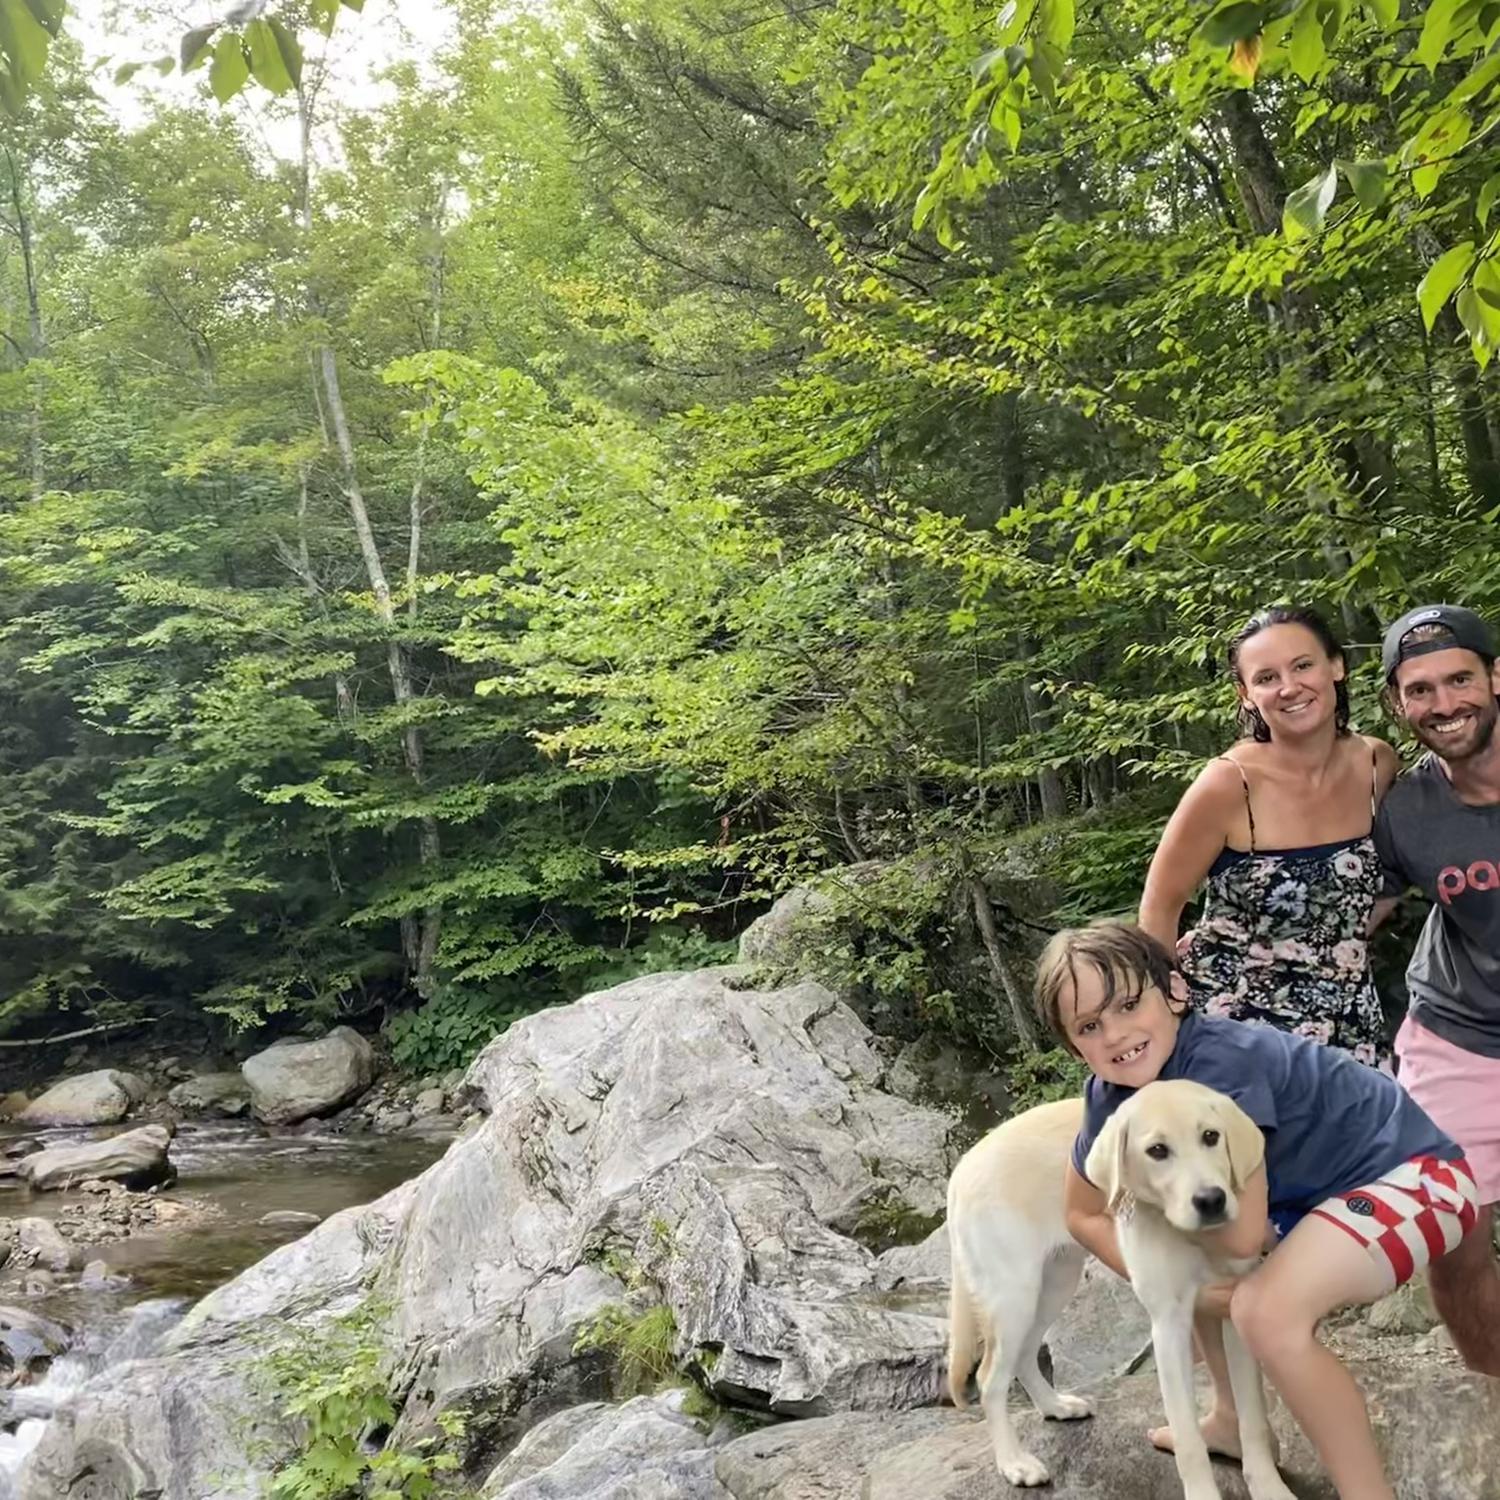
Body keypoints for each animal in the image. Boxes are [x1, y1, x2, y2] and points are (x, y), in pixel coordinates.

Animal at [954, 1080, 1296, 1500]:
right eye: (1157, 1151)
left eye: (1211, 1136)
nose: (1211, 1200)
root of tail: (964, 1166)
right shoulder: (1168, 1326)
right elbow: (1188, 1439)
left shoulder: (1234, 1313)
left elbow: (1253, 1420)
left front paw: (1269, 1488)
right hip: (1013, 1295)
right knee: (990, 1378)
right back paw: (1015, 1463)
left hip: (1055, 1282)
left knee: (1023, 1356)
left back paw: (1055, 1406)